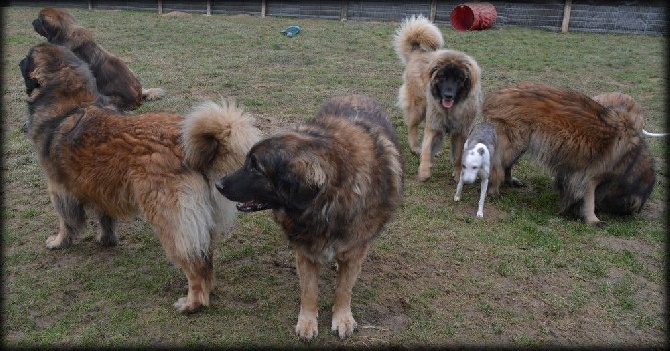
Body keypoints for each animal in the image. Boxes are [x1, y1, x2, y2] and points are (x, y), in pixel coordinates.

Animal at [18, 42, 260, 312]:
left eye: (27, 58)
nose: (18, 61)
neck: (70, 102)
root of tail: (192, 148)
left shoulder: (59, 188)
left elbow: (66, 220)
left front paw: (59, 241)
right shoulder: (98, 185)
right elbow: (105, 217)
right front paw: (106, 239)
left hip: (168, 218)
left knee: (193, 263)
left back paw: (192, 302)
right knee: (205, 257)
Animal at [215, 94, 404, 340]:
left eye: (255, 167)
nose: (218, 184)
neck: (326, 202)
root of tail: (355, 94)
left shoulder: (354, 249)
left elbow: (344, 289)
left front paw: (342, 317)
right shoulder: (305, 251)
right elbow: (309, 290)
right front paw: (307, 322)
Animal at [394, 13, 484, 182]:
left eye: (459, 79)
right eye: (442, 77)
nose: (448, 95)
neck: (451, 109)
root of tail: (418, 51)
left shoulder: (460, 131)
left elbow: (458, 155)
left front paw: (457, 173)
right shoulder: (433, 123)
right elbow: (426, 148)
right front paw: (423, 172)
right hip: (419, 107)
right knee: (412, 127)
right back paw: (415, 147)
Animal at [486, 82, 660, 226]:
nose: (634, 213)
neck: (631, 160)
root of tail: (498, 94)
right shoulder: (589, 175)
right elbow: (589, 199)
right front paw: (592, 219)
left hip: (521, 145)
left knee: (506, 165)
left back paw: (509, 180)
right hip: (514, 144)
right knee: (497, 165)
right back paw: (493, 190)